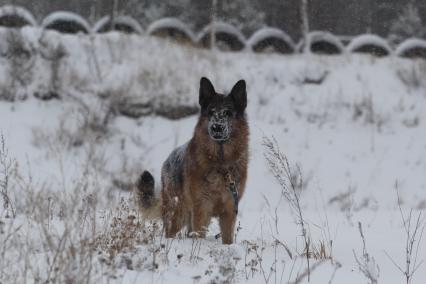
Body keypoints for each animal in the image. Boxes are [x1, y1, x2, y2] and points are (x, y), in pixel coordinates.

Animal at [136, 77, 248, 244]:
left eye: (228, 113)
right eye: (211, 112)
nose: (216, 127)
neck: (220, 163)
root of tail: (167, 161)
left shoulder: (229, 211)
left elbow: (227, 239)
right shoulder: (202, 209)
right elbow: (199, 235)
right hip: (179, 214)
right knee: (170, 232)